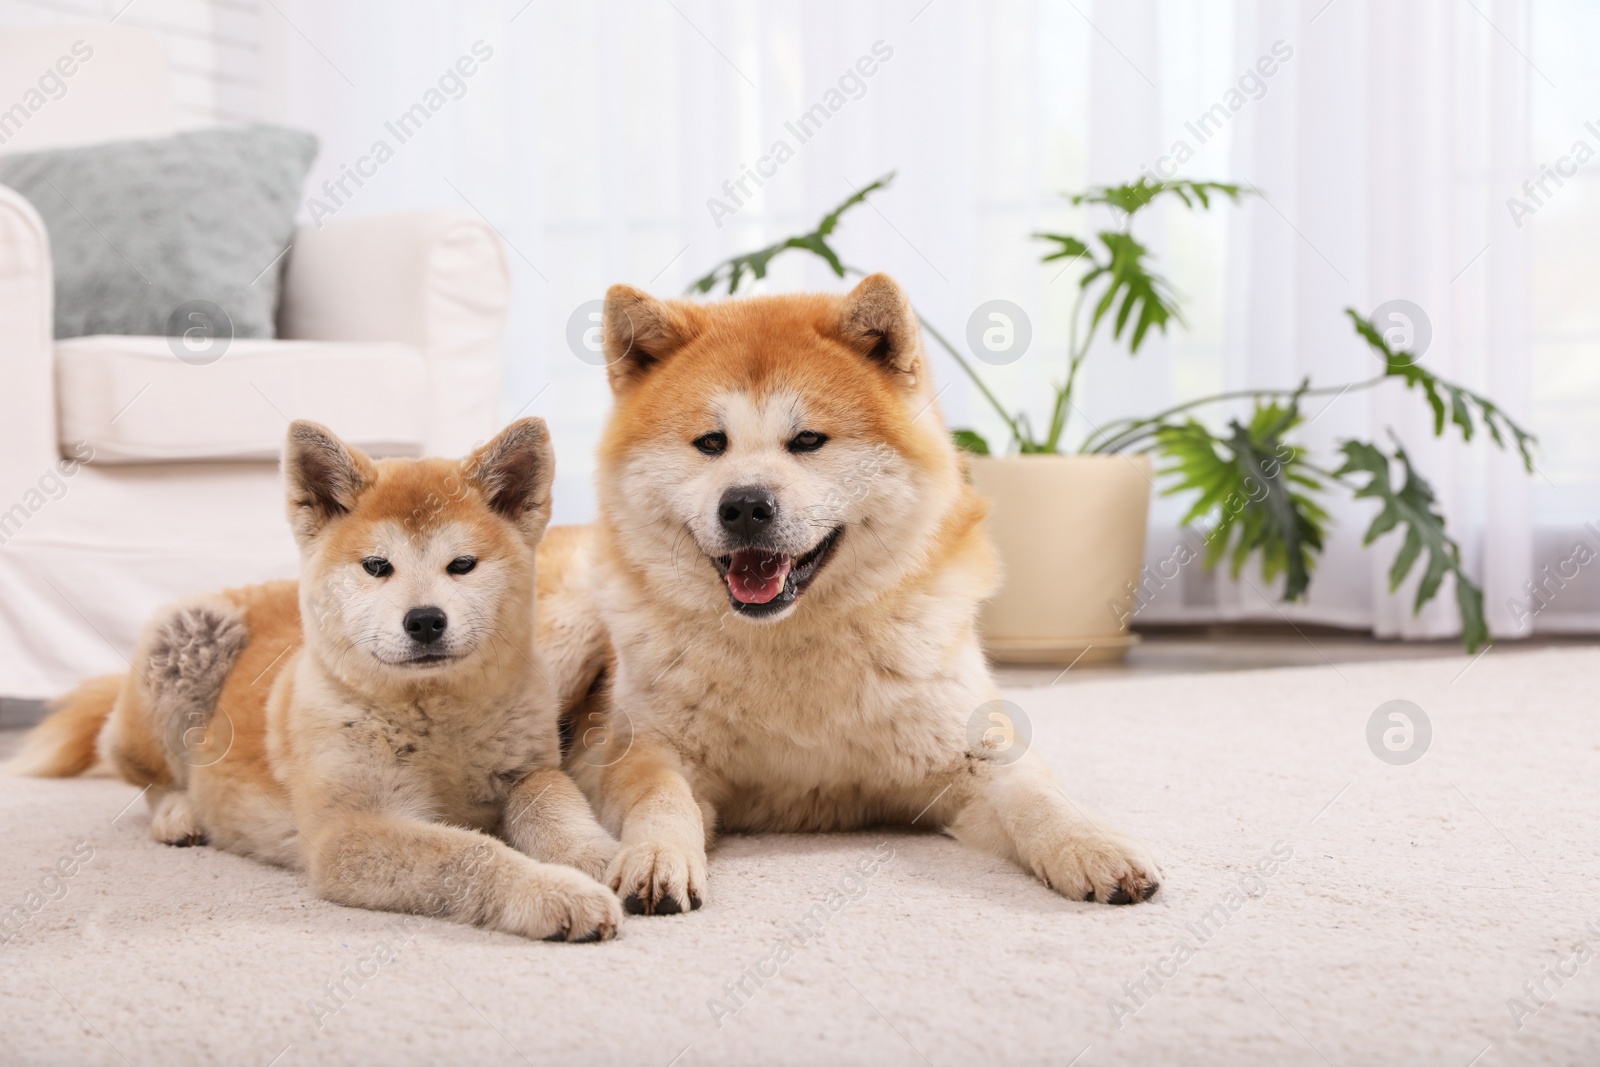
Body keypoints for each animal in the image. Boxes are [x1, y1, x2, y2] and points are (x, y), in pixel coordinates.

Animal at [14, 419, 624, 940]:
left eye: (462, 565)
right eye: (377, 566)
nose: (425, 620)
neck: (435, 719)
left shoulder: (531, 772)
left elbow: (554, 806)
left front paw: (597, 857)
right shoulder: (348, 832)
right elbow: (473, 855)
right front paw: (557, 894)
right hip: (187, 633)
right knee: (146, 775)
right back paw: (179, 813)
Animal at [540, 271, 1164, 915]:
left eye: (808, 440)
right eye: (711, 443)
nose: (745, 505)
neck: (789, 644)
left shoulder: (969, 754)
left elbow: (1039, 796)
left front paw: (1092, 844)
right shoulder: (647, 750)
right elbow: (660, 798)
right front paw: (656, 856)